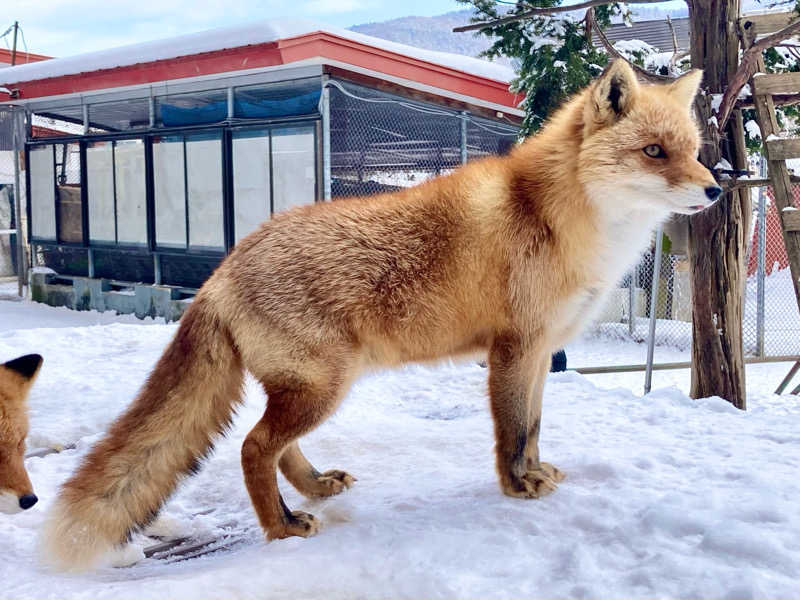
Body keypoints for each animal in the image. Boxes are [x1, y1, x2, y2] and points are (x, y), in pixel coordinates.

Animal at [42, 61, 720, 572]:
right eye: (654, 152)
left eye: (692, 152)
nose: (716, 188)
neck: (557, 217)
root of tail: (223, 270)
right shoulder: (514, 348)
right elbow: (510, 430)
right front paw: (516, 489)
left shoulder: (539, 352)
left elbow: (531, 428)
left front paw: (533, 474)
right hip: (322, 387)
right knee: (254, 448)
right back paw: (282, 527)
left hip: (312, 388)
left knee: (271, 446)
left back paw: (314, 488)